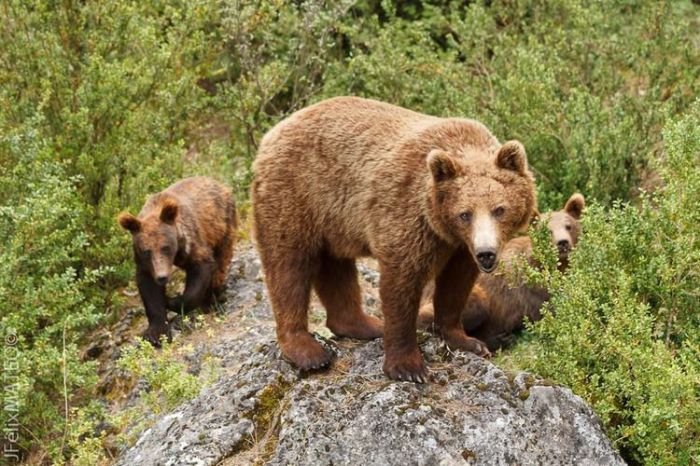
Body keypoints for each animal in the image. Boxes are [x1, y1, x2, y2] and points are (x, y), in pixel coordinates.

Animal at [115, 177, 235, 344]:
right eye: (146, 251)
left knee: (221, 260)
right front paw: (156, 333)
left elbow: (201, 267)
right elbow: (149, 290)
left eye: (165, 247)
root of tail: (217, 182)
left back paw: (214, 297)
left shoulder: (191, 241)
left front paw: (173, 301)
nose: (162, 277)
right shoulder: (145, 263)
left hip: (222, 224)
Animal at [252, 97, 536, 382]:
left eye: (499, 209)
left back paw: (364, 324)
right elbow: (402, 283)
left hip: (333, 218)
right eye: (464, 214)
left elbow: (456, 285)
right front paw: (408, 367)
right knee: (288, 266)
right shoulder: (407, 214)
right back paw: (307, 351)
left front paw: (468, 341)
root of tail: (273, 131)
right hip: (296, 193)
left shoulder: (458, 247)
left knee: (335, 267)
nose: (486, 253)